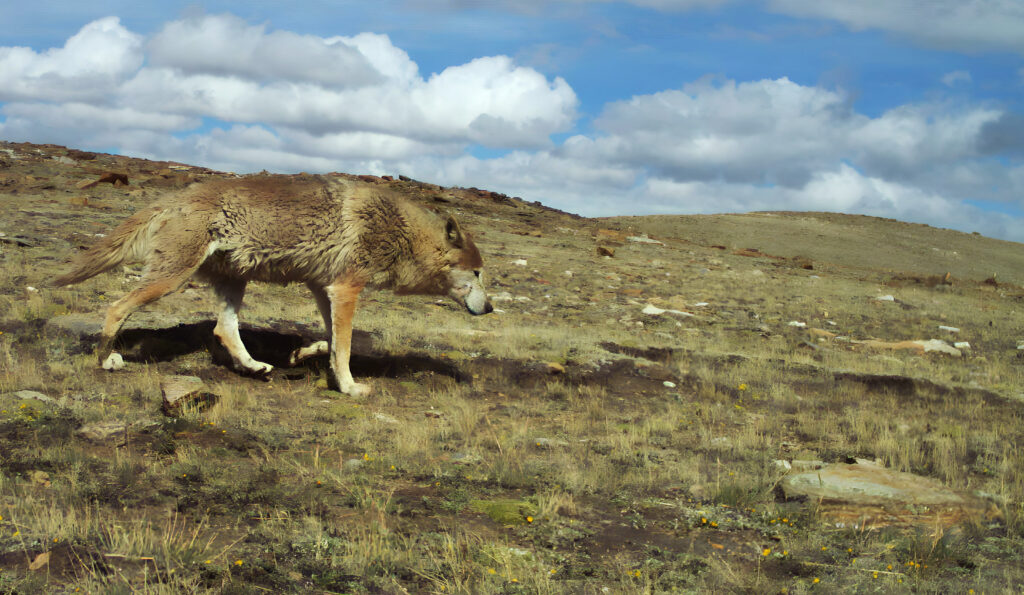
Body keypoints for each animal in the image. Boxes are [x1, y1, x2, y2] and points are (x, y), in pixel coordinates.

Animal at [54, 174, 493, 397]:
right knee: (115, 308)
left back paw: (254, 367)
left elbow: (331, 341)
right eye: (476, 273)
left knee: (223, 329)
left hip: (234, 283)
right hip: (170, 279)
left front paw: (303, 356)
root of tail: (176, 196)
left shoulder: (324, 289)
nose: (489, 308)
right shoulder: (346, 290)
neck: (401, 233)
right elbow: (346, 348)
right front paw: (350, 387)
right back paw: (106, 359)